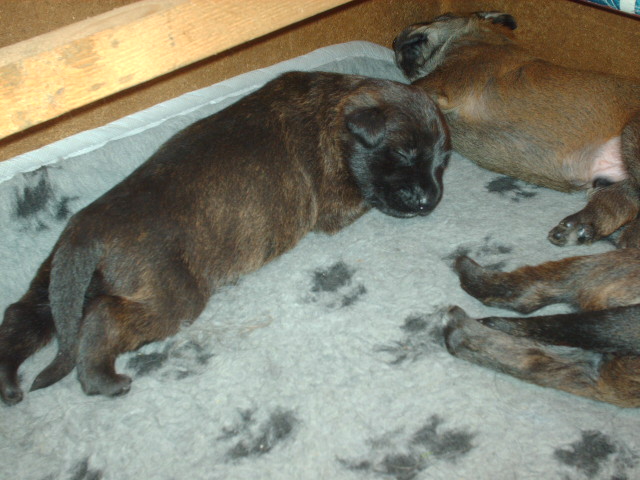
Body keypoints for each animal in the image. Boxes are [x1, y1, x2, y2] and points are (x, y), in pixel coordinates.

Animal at [0, 71, 450, 405]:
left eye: (443, 162)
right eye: (405, 154)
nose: (431, 201)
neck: (336, 111)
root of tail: (85, 234)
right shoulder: (339, 203)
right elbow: (370, 198)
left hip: (56, 283)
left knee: (22, 317)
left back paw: (9, 386)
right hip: (171, 296)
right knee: (104, 317)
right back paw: (103, 381)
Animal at [393, 12, 640, 247]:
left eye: (440, 17)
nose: (395, 40)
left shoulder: (443, 81)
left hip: (631, 137)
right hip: (616, 183)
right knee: (621, 204)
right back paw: (579, 230)